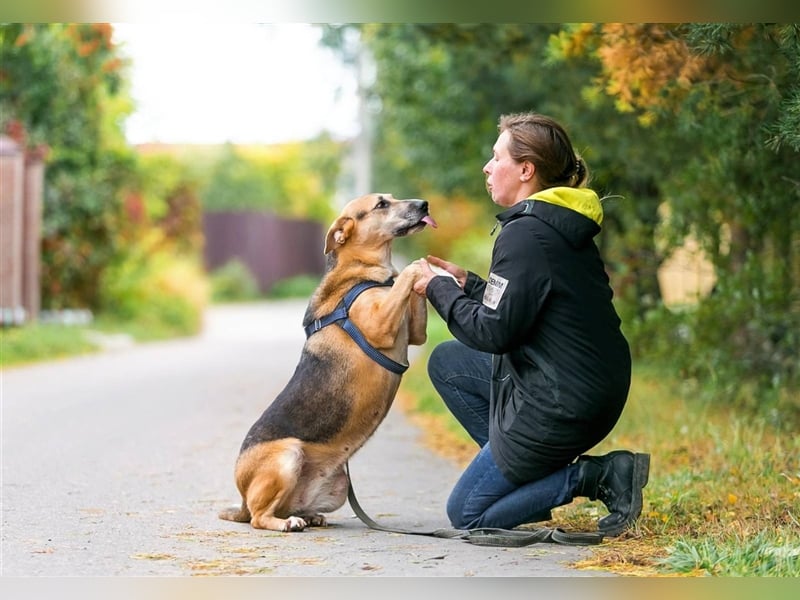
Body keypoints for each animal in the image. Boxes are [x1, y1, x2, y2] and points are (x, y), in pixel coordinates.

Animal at [217, 195, 438, 532]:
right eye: (382, 204)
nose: (424, 204)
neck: (361, 273)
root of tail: (242, 499)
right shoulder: (379, 325)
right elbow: (406, 277)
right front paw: (418, 267)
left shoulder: (415, 332)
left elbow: (410, 292)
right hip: (289, 455)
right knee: (258, 517)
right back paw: (287, 523)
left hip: (337, 486)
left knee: (283, 508)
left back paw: (308, 516)